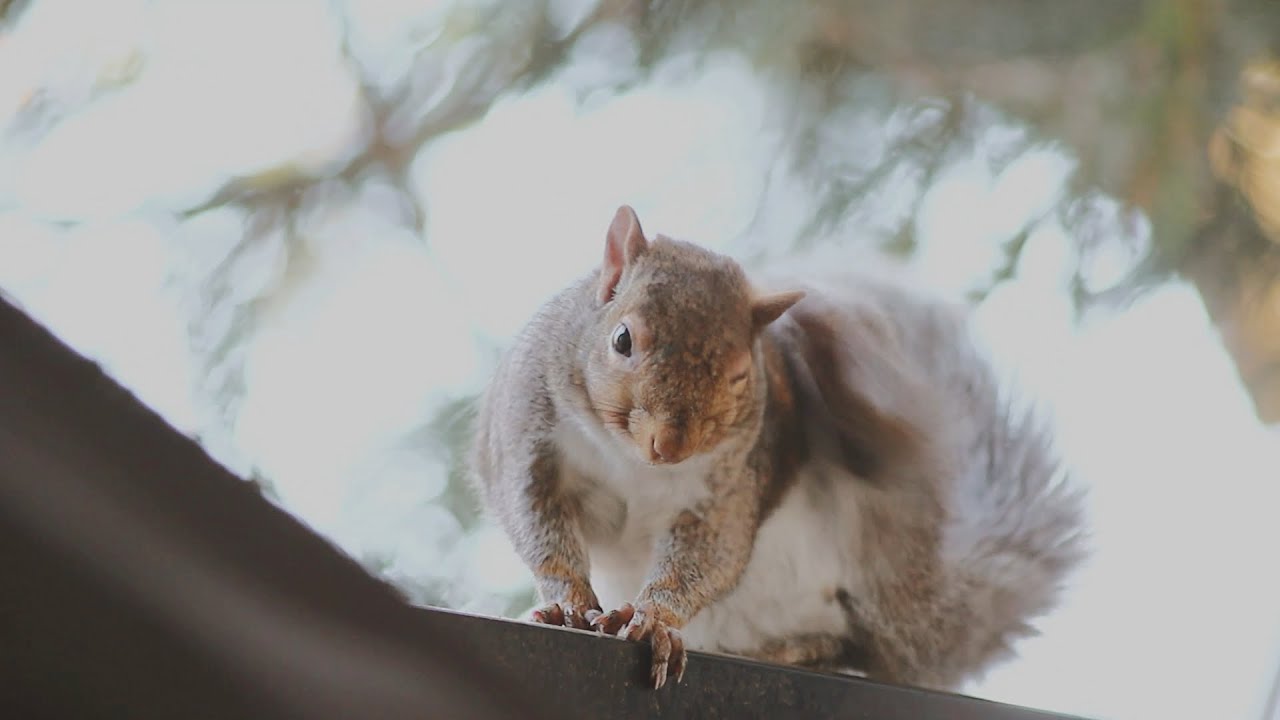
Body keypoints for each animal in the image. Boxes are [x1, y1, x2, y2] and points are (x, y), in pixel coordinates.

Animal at [468, 205, 1088, 691]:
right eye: (622, 339)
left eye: (742, 374)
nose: (669, 446)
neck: (629, 461)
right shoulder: (529, 437)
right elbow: (536, 516)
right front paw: (568, 603)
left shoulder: (732, 486)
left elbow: (708, 555)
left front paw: (656, 620)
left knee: (846, 640)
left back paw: (793, 649)